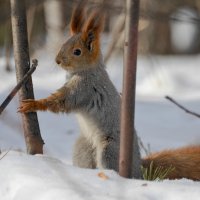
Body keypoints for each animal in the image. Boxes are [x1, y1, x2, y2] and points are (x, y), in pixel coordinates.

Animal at [18, 0, 199, 181]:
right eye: (64, 44)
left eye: (77, 52)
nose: (57, 61)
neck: (86, 71)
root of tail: (138, 170)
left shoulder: (84, 89)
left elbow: (61, 101)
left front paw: (33, 104)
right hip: (83, 147)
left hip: (110, 150)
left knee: (111, 167)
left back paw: (108, 177)